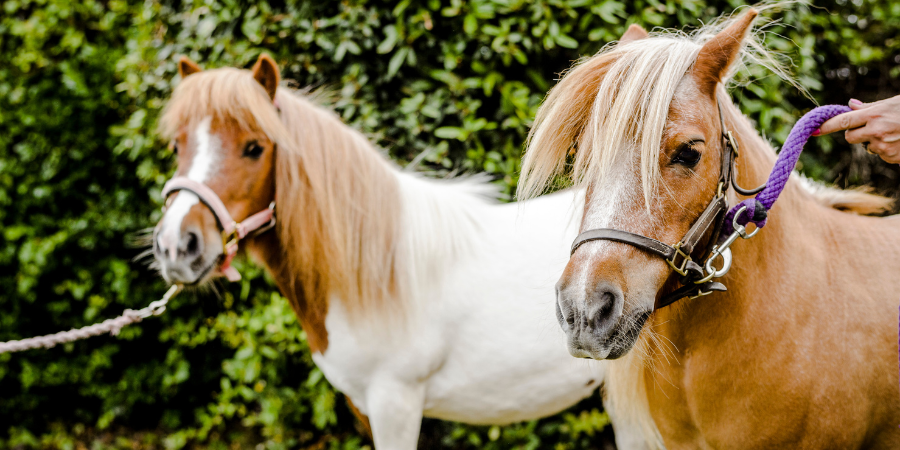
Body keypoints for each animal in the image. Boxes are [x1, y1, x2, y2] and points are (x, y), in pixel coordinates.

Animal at [151, 55, 648, 446]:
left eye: (254, 148)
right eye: (177, 146)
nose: (176, 246)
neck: (377, 272)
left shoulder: (395, 403)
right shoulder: (365, 406)